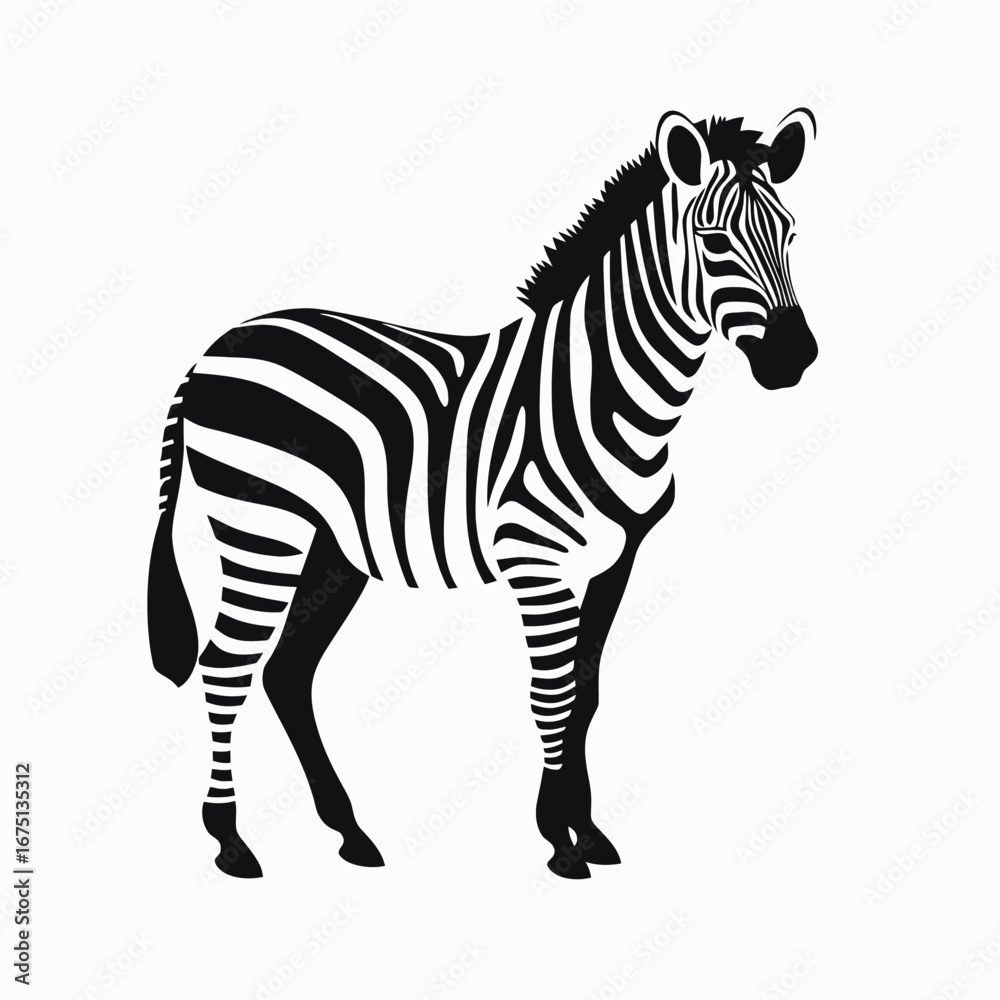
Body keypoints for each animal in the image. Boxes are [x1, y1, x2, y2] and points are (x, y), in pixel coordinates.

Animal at [148, 109, 819, 880]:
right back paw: (230, 839)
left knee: (287, 670)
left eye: (790, 233)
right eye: (714, 242)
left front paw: (587, 829)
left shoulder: (617, 559)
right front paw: (559, 838)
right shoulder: (537, 559)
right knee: (226, 666)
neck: (602, 388)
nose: (796, 357)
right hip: (262, 526)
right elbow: (551, 694)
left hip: (332, 546)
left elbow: (587, 691)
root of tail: (213, 350)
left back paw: (350, 832)